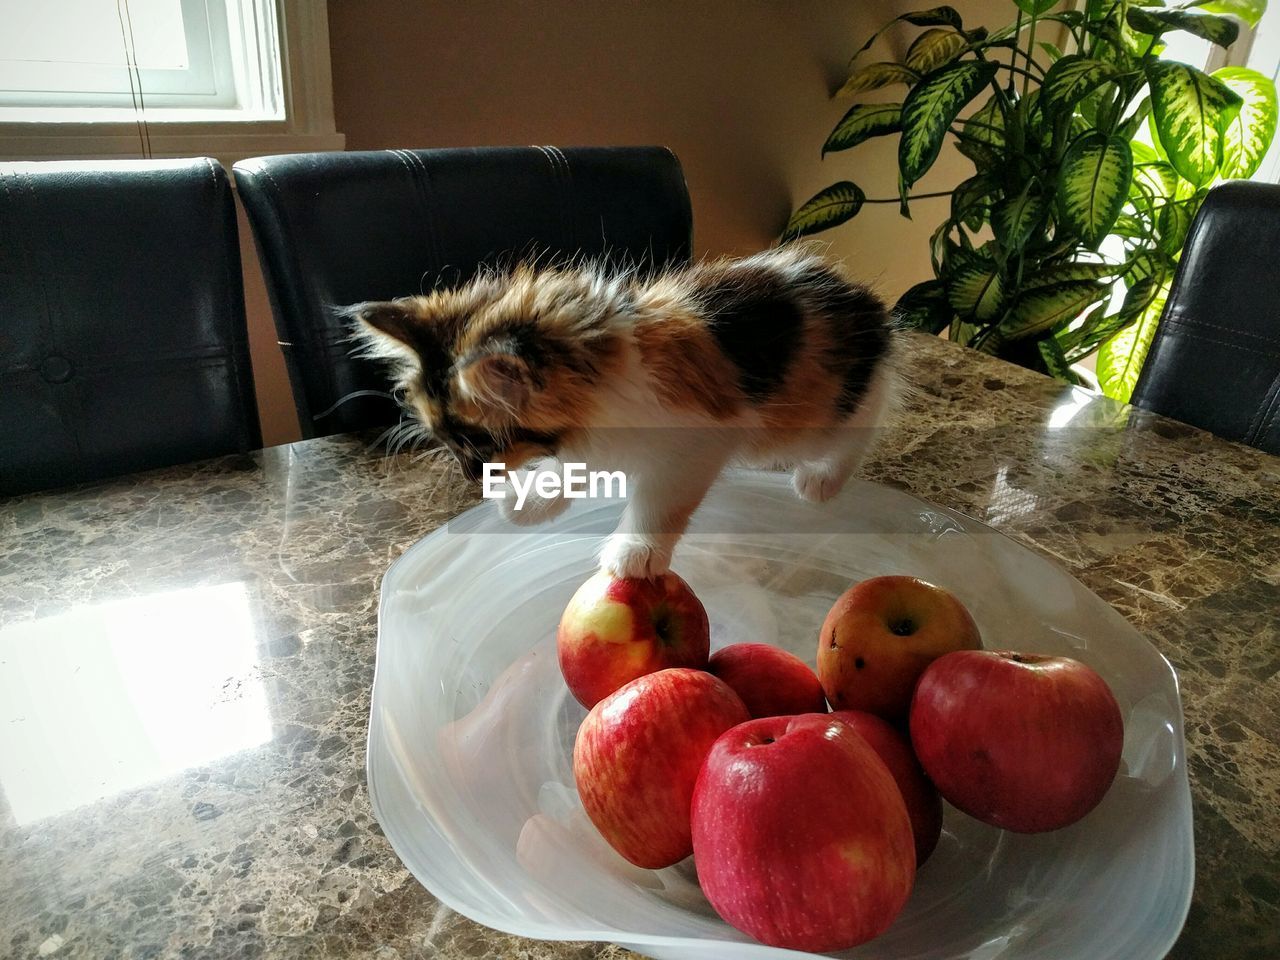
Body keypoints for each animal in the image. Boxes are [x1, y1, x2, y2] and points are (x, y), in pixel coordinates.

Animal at [345, 248, 896, 578]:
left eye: (479, 443)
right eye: (445, 440)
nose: (469, 474)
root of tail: (866, 303)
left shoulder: (694, 447)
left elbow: (658, 503)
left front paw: (634, 555)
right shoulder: (596, 440)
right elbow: (573, 467)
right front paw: (530, 503)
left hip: (808, 417)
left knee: (864, 417)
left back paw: (822, 479)